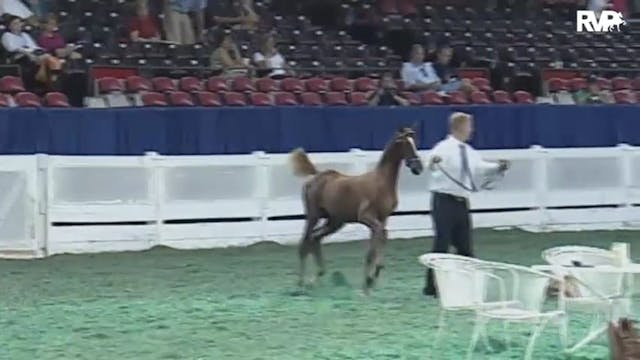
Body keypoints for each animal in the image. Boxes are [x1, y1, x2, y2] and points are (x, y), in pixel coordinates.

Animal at [288, 128, 422, 294]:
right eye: (405, 144)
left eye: (414, 142)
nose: (418, 167)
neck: (382, 183)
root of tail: (316, 176)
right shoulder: (366, 217)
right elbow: (375, 244)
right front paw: (368, 282)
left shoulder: (382, 218)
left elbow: (380, 238)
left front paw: (371, 279)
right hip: (313, 216)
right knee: (304, 243)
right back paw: (301, 283)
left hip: (335, 221)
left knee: (315, 238)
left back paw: (317, 277)